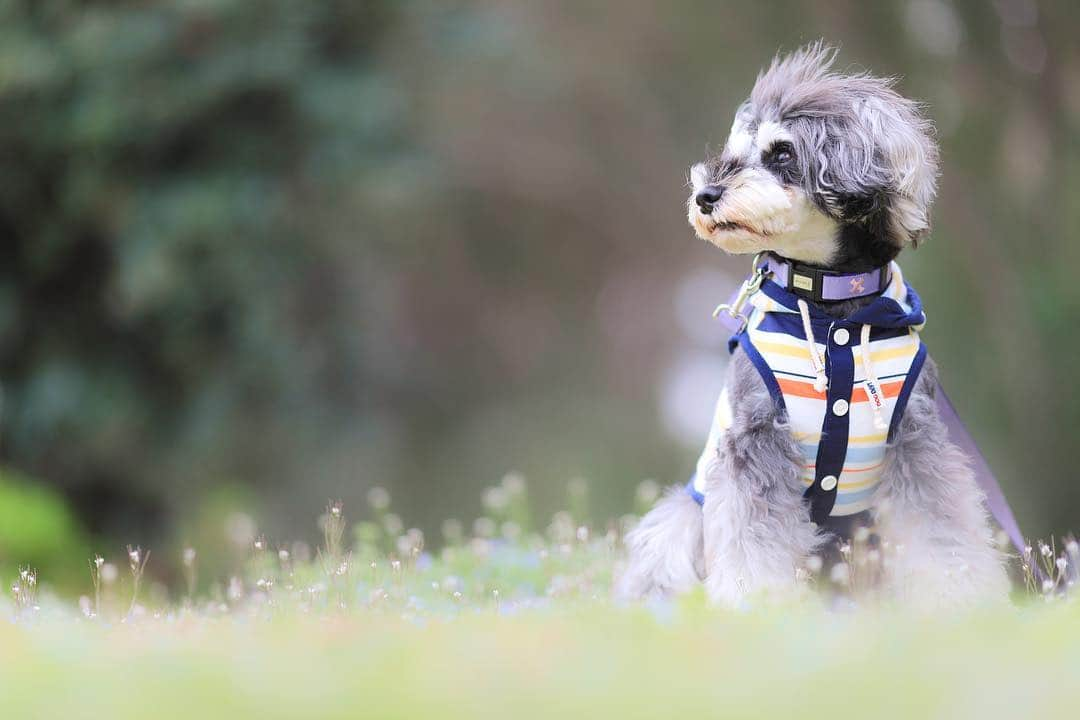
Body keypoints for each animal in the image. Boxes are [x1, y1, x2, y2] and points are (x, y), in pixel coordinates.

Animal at [622, 43, 1006, 608]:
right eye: (736, 150)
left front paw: (959, 600)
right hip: (684, 517)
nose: (705, 196)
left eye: (782, 153)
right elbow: (751, 539)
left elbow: (941, 530)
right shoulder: (754, 440)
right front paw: (751, 605)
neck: (833, 308)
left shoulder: (917, 440)